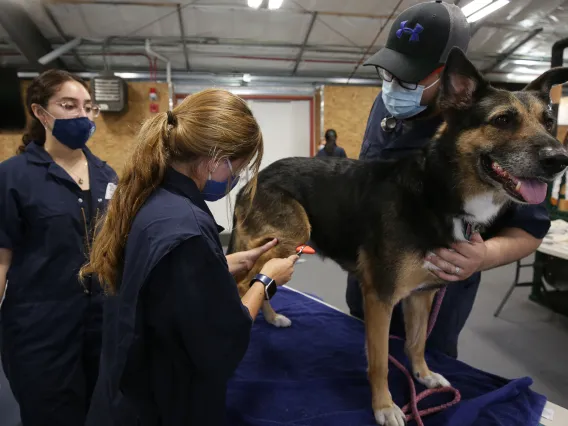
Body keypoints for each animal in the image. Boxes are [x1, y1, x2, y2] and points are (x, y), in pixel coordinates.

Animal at [229, 48, 568, 424]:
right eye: (503, 120)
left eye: (549, 122)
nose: (560, 160)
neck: (438, 192)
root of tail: (255, 179)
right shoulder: (380, 297)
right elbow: (380, 362)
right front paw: (384, 406)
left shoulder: (422, 294)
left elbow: (415, 342)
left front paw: (423, 376)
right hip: (290, 237)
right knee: (244, 280)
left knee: (260, 277)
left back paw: (271, 318)